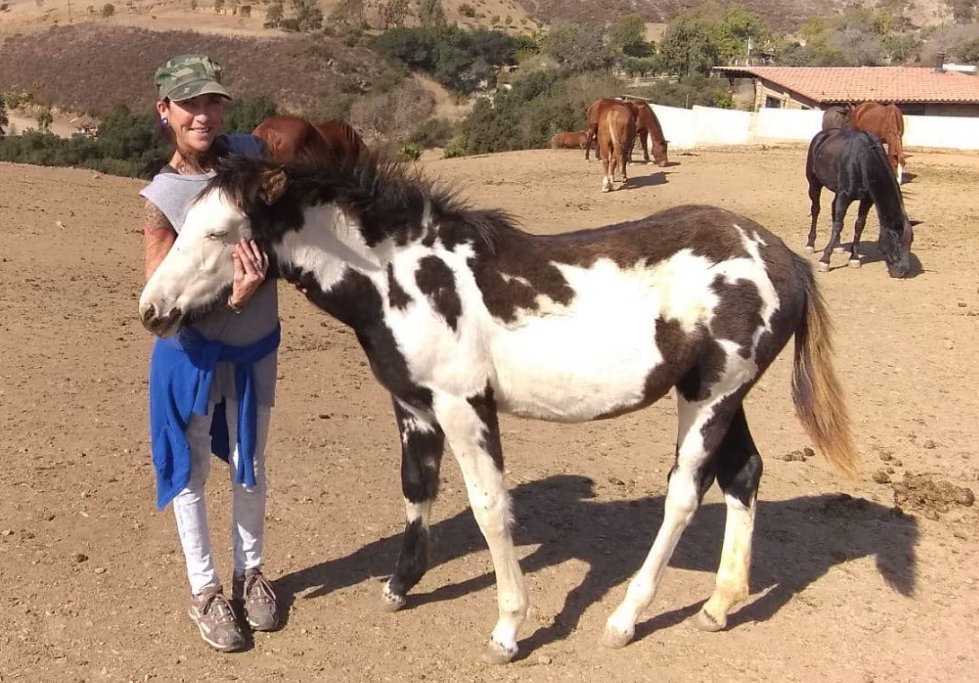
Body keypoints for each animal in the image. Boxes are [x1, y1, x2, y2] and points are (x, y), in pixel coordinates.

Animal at [139, 152, 856, 664]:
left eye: (219, 231)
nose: (152, 310)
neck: (399, 278)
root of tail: (782, 256)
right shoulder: (415, 406)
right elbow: (416, 489)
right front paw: (400, 587)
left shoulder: (464, 408)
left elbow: (489, 509)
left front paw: (509, 627)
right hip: (721, 395)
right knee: (743, 476)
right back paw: (718, 603)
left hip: (710, 399)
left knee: (684, 493)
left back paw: (625, 618)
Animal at [805, 128, 914, 277]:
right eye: (895, 238)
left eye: (911, 241)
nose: (903, 271)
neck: (863, 161)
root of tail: (823, 134)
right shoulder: (845, 196)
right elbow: (839, 225)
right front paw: (825, 260)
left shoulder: (867, 200)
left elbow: (859, 225)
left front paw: (854, 258)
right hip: (814, 183)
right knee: (815, 210)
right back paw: (810, 244)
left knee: (833, 209)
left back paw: (837, 246)